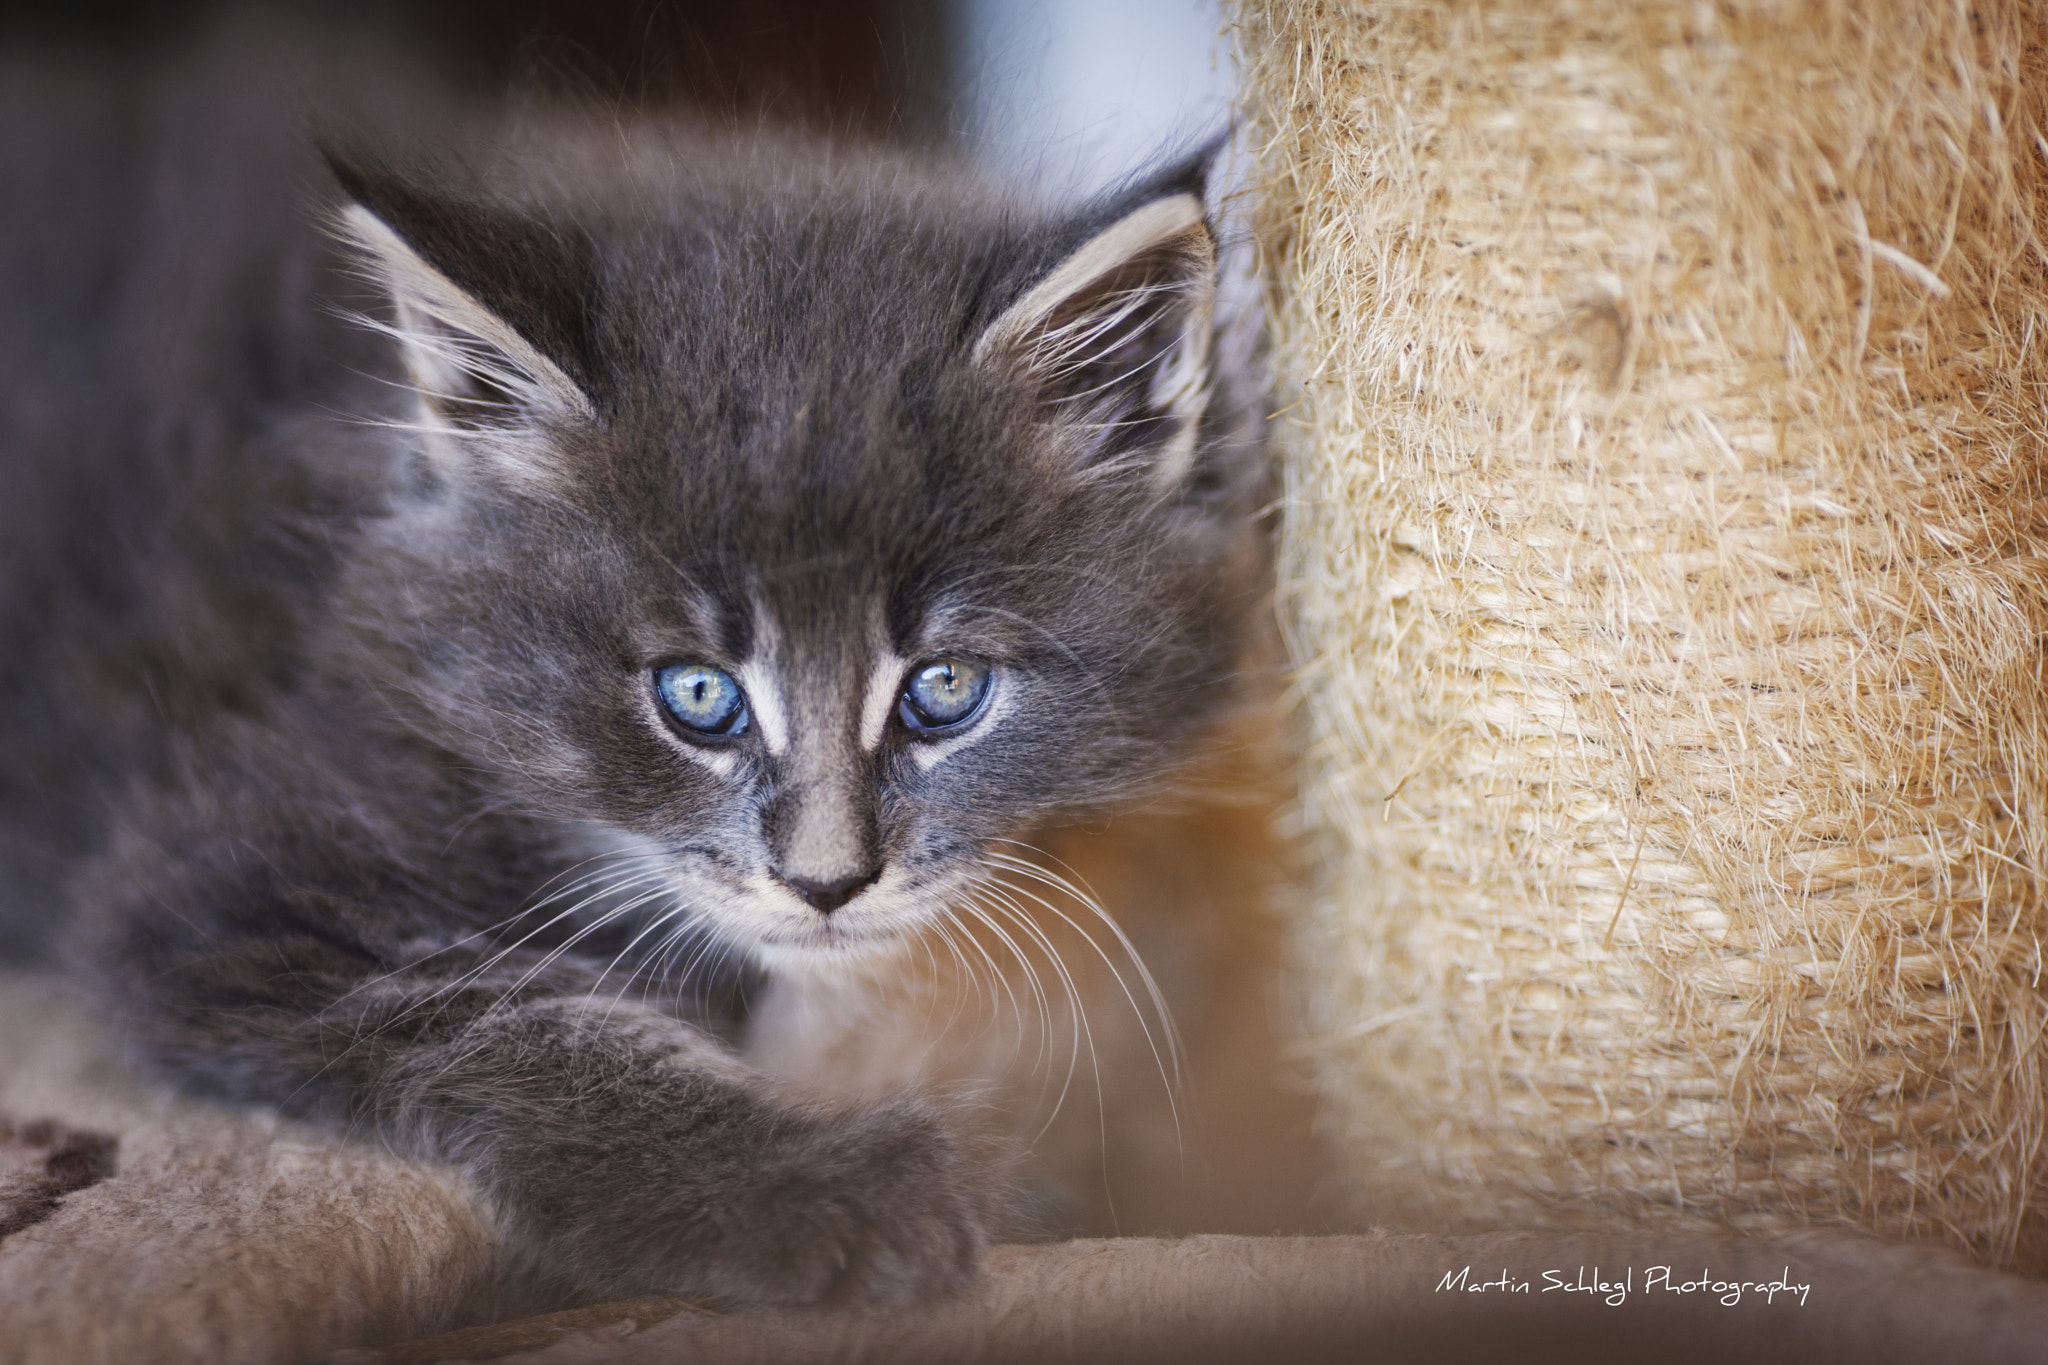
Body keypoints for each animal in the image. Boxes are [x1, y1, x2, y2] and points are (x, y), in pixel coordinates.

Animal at [0, 37, 1269, 1309]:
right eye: (696, 696)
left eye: (944, 689)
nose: (824, 883)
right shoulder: (227, 876)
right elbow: (513, 1019)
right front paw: (808, 1186)